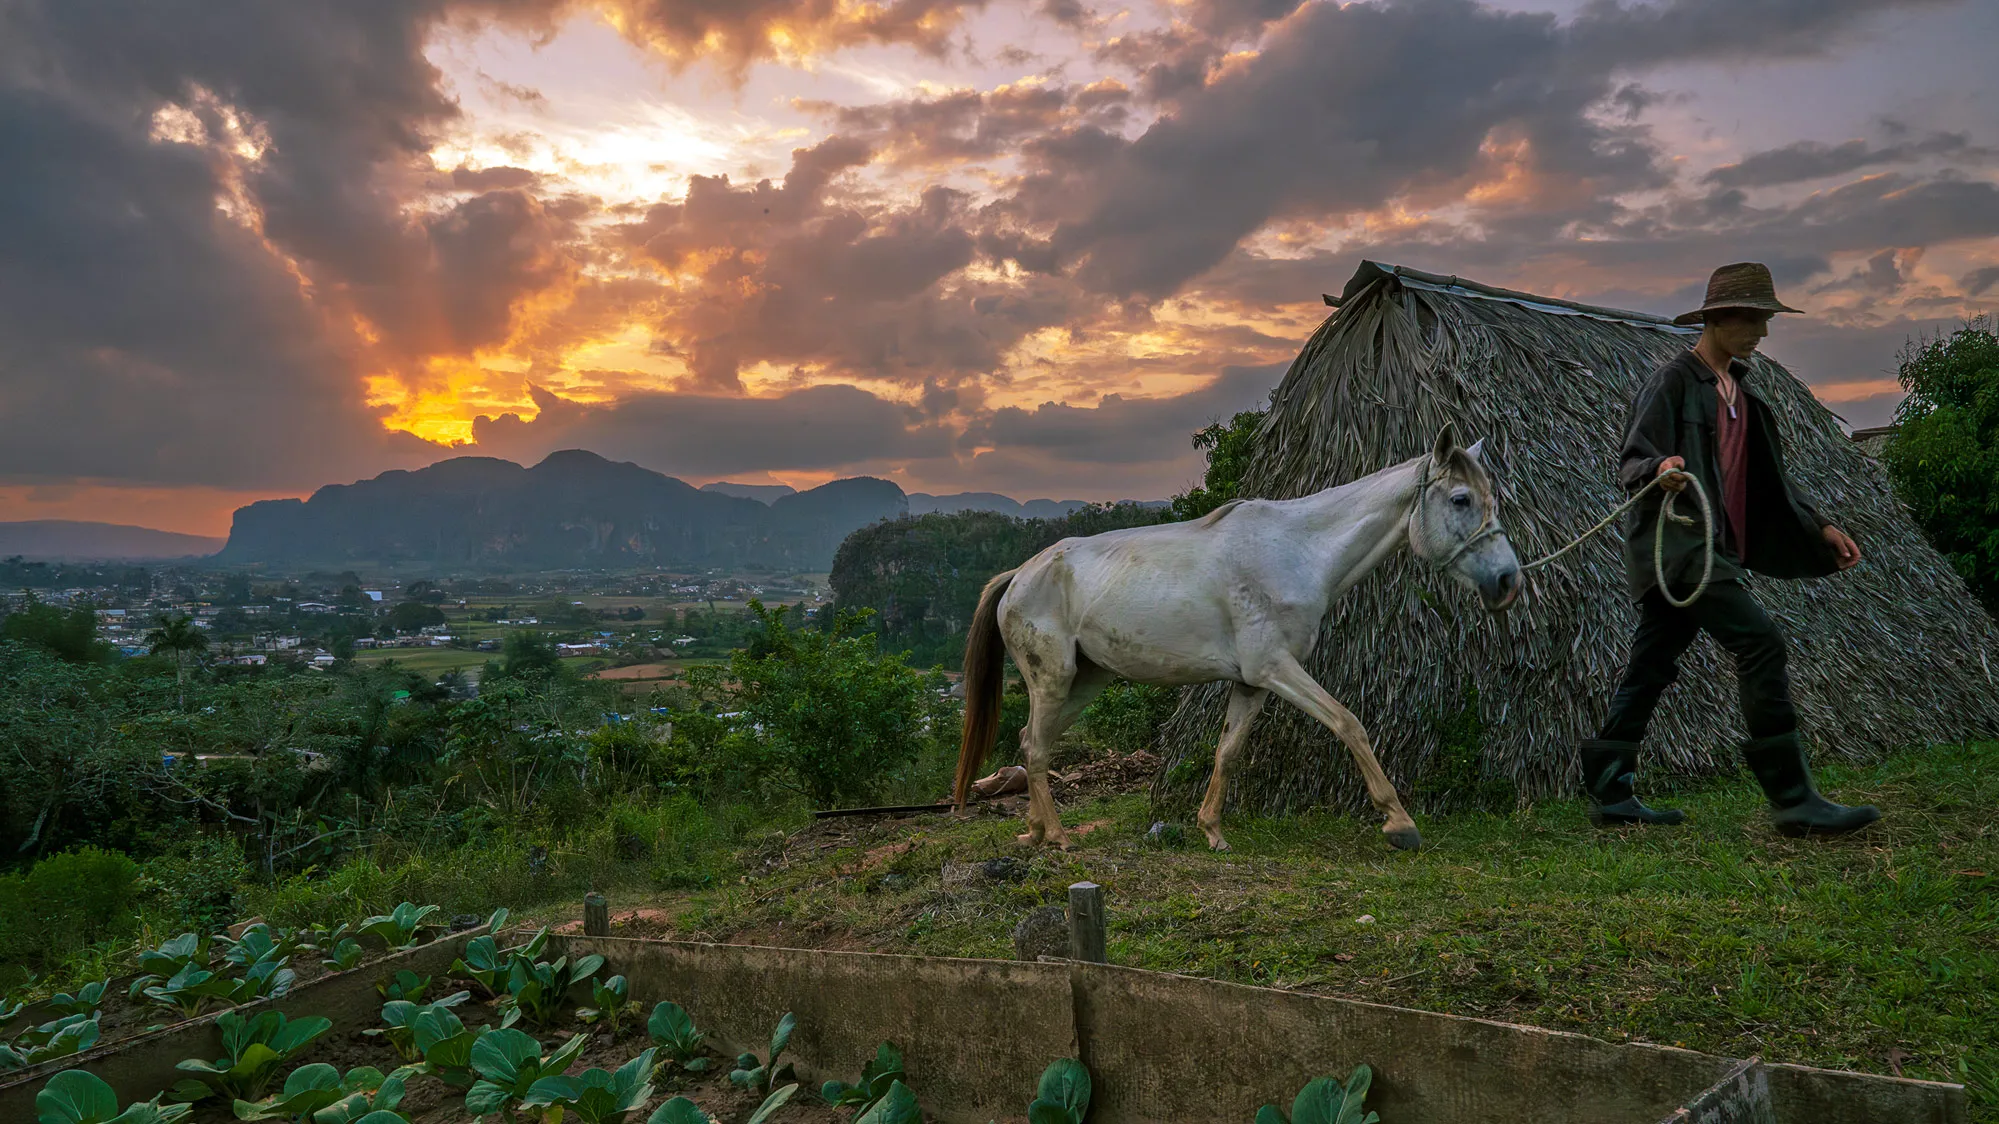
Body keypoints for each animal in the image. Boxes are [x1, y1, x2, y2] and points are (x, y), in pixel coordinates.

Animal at [947, 426, 1511, 848]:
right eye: (1460, 498)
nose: (1507, 580)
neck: (1297, 553)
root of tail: (1020, 575)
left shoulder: (1253, 682)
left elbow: (1228, 750)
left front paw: (1212, 830)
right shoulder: (1276, 668)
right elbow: (1349, 724)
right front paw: (1399, 823)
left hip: (1085, 681)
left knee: (1029, 742)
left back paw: (1036, 832)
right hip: (1053, 679)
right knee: (1037, 749)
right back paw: (1060, 838)